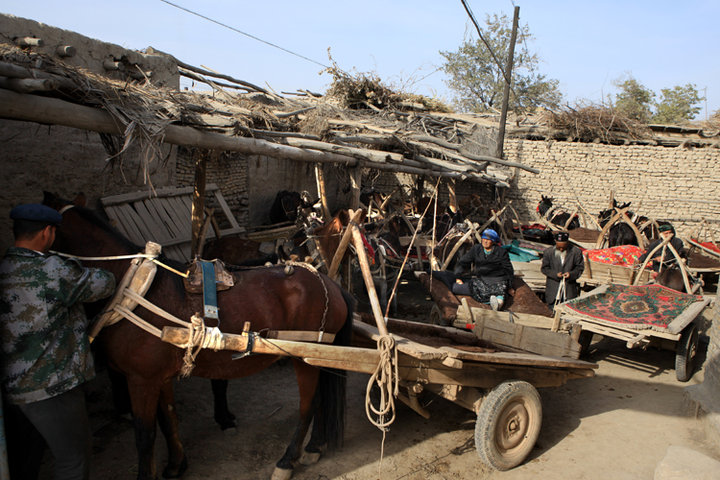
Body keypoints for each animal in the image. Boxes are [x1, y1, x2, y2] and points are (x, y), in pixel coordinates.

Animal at [43, 192, 354, 480]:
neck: (133, 287)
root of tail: (331, 285)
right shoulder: (158, 377)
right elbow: (168, 418)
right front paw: (175, 465)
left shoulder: (141, 379)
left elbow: (144, 436)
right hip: (316, 356)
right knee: (321, 399)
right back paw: (314, 446)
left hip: (304, 356)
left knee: (308, 404)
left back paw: (287, 460)